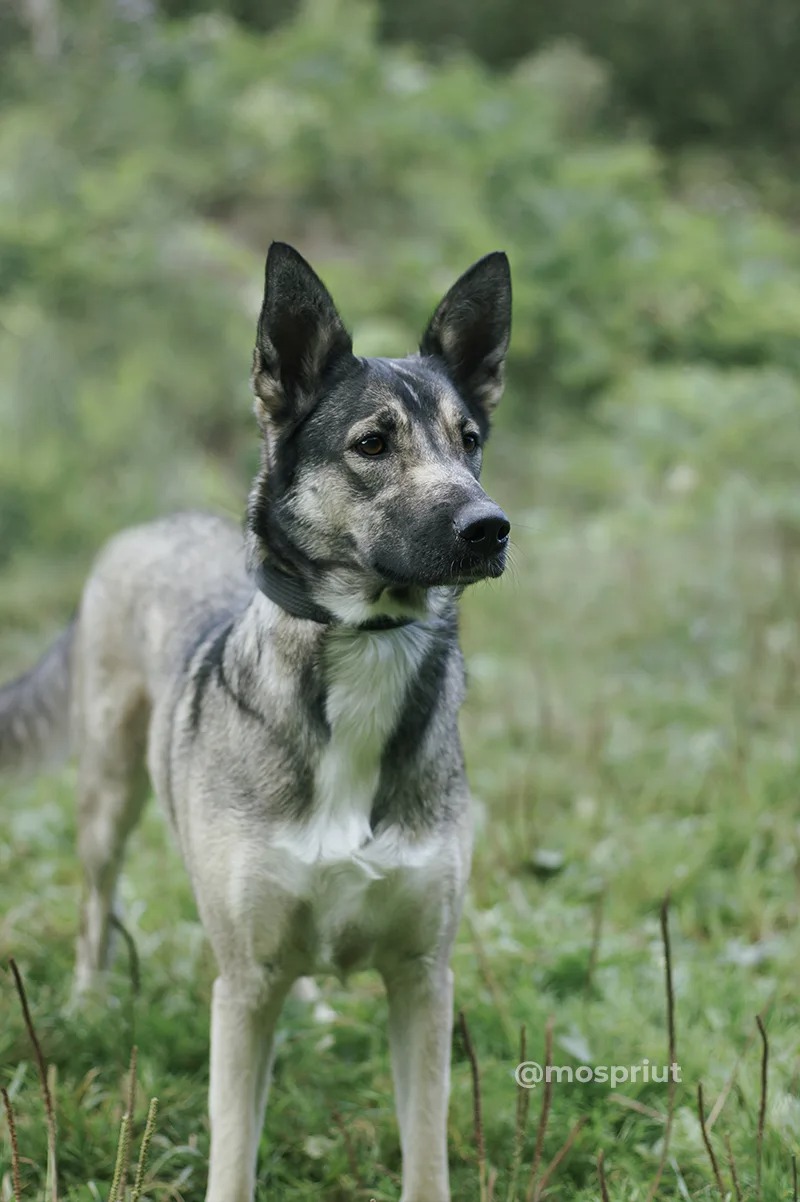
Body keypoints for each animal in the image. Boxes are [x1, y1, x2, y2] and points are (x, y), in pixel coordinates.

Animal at [0, 244, 511, 1202]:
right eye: (372, 444)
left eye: (471, 442)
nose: (490, 527)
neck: (363, 652)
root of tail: (150, 523)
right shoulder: (237, 989)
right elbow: (233, 1154)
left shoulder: (424, 979)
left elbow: (426, 1156)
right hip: (108, 799)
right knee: (94, 904)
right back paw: (86, 1004)